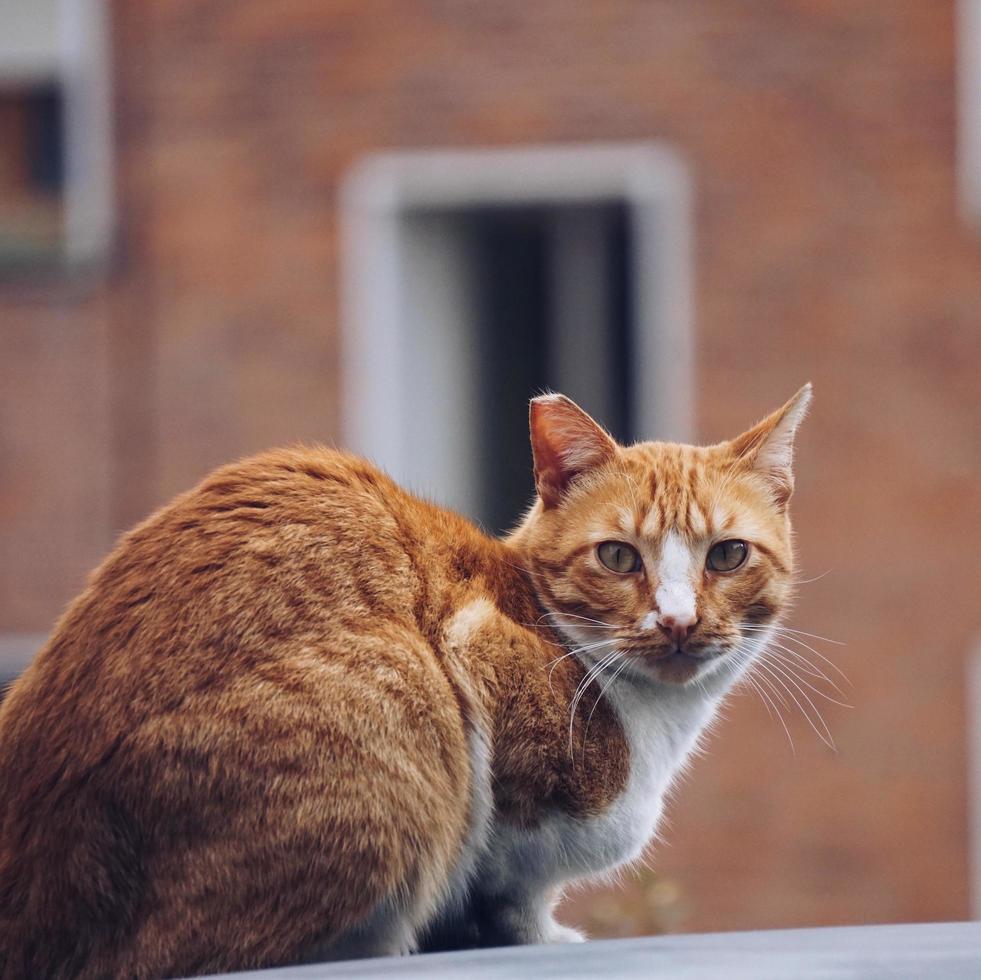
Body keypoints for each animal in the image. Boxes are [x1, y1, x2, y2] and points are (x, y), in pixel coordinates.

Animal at [0, 386, 812, 976]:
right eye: (617, 557)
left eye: (727, 555)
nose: (677, 621)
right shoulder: (470, 655)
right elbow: (511, 880)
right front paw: (535, 933)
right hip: (406, 700)